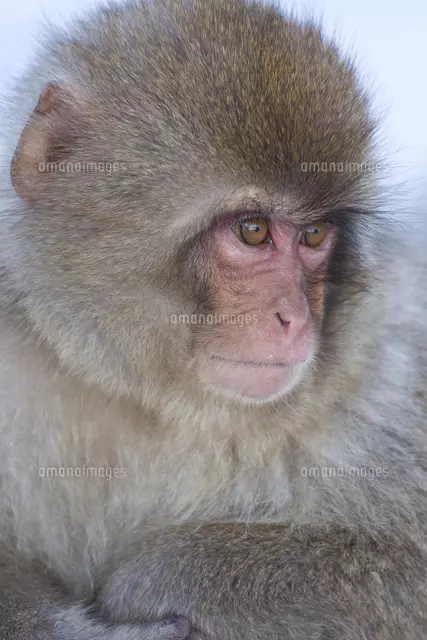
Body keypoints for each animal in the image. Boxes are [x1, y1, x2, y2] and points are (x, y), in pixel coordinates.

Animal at [0, 0, 426, 638]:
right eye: (252, 230)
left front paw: (157, 579)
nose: (294, 317)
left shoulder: (384, 375)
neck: (151, 400)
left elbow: (407, 570)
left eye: (314, 235)